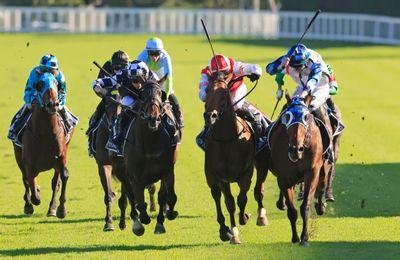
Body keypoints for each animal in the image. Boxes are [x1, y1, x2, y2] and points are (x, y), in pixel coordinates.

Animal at [13, 72, 74, 217]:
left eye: (57, 84)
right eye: (39, 84)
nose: (53, 104)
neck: (45, 132)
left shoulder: (61, 156)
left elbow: (62, 177)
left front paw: (61, 209)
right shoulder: (28, 162)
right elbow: (31, 185)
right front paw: (33, 199)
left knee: (54, 182)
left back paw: (51, 208)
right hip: (18, 157)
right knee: (26, 180)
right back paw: (28, 205)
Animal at [124, 81, 179, 236]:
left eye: (160, 93)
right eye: (142, 95)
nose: (153, 118)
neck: (150, 143)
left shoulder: (167, 170)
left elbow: (166, 196)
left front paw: (162, 221)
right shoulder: (135, 176)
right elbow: (139, 201)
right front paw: (141, 223)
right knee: (130, 195)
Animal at [268, 93, 332, 246]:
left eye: (306, 117)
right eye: (287, 117)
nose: (294, 150)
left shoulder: (312, 172)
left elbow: (305, 206)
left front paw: (304, 237)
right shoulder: (284, 176)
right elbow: (292, 210)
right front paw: (295, 237)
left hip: (324, 166)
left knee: (322, 184)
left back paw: (321, 206)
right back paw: (281, 203)